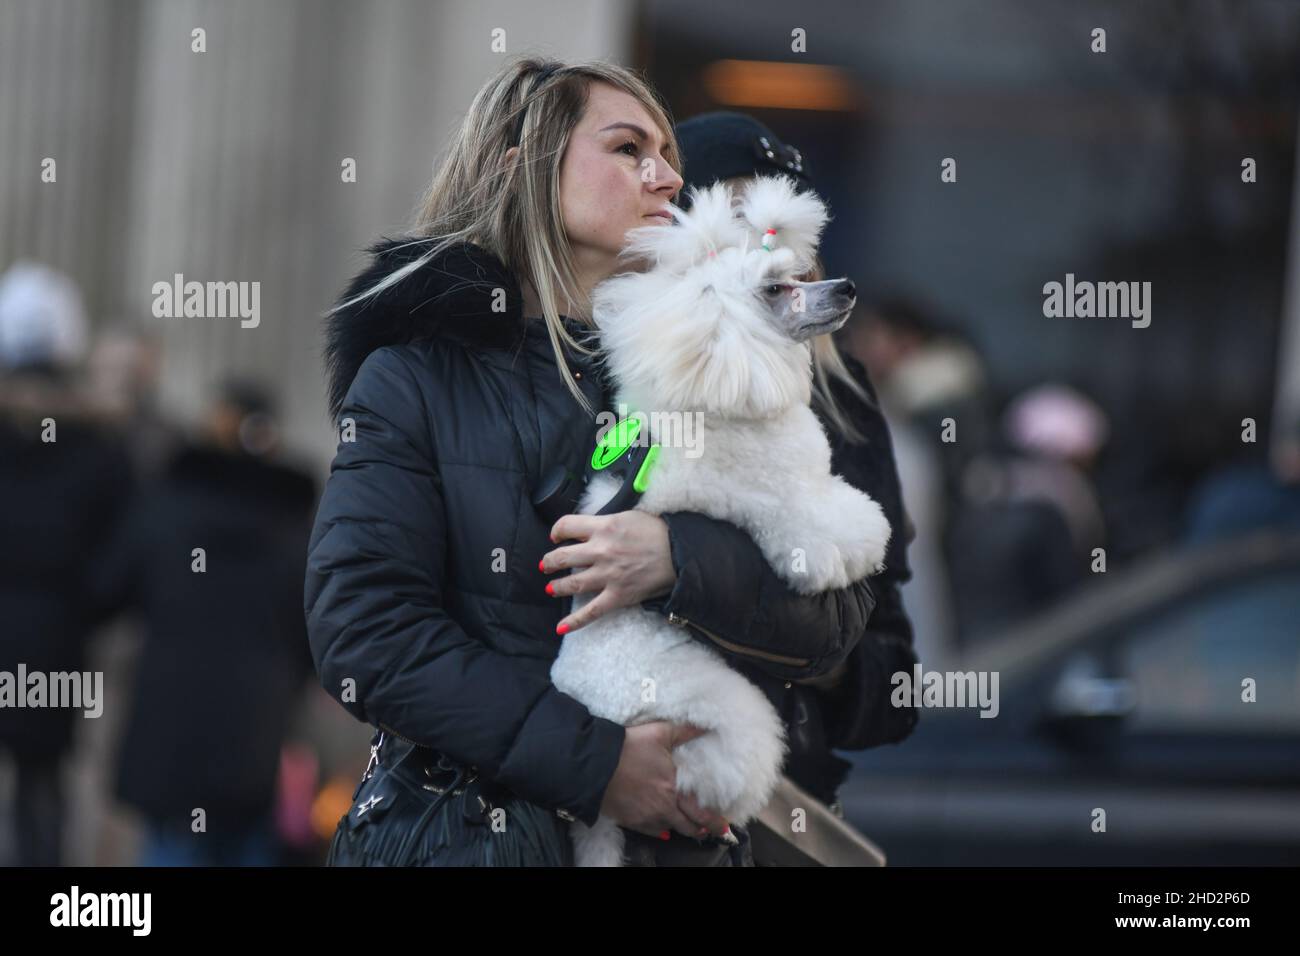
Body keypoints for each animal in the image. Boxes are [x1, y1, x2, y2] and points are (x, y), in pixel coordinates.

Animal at [548, 174, 894, 868]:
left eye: (797, 272)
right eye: (774, 290)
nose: (846, 287)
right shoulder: (791, 522)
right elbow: (835, 535)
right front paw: (869, 537)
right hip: (718, 719)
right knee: (717, 776)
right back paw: (721, 824)